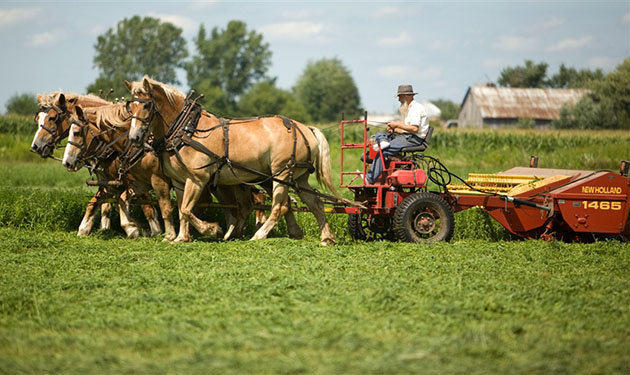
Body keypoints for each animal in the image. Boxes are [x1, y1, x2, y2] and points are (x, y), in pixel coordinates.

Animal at [126, 76, 348, 247]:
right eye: (130, 107)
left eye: (146, 105)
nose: (134, 137)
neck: (187, 129)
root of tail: (304, 128)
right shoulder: (180, 182)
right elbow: (182, 210)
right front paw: (182, 237)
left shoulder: (198, 178)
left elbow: (187, 209)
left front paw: (211, 229)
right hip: (298, 178)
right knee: (315, 203)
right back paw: (326, 238)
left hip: (282, 173)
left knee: (279, 206)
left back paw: (259, 235)